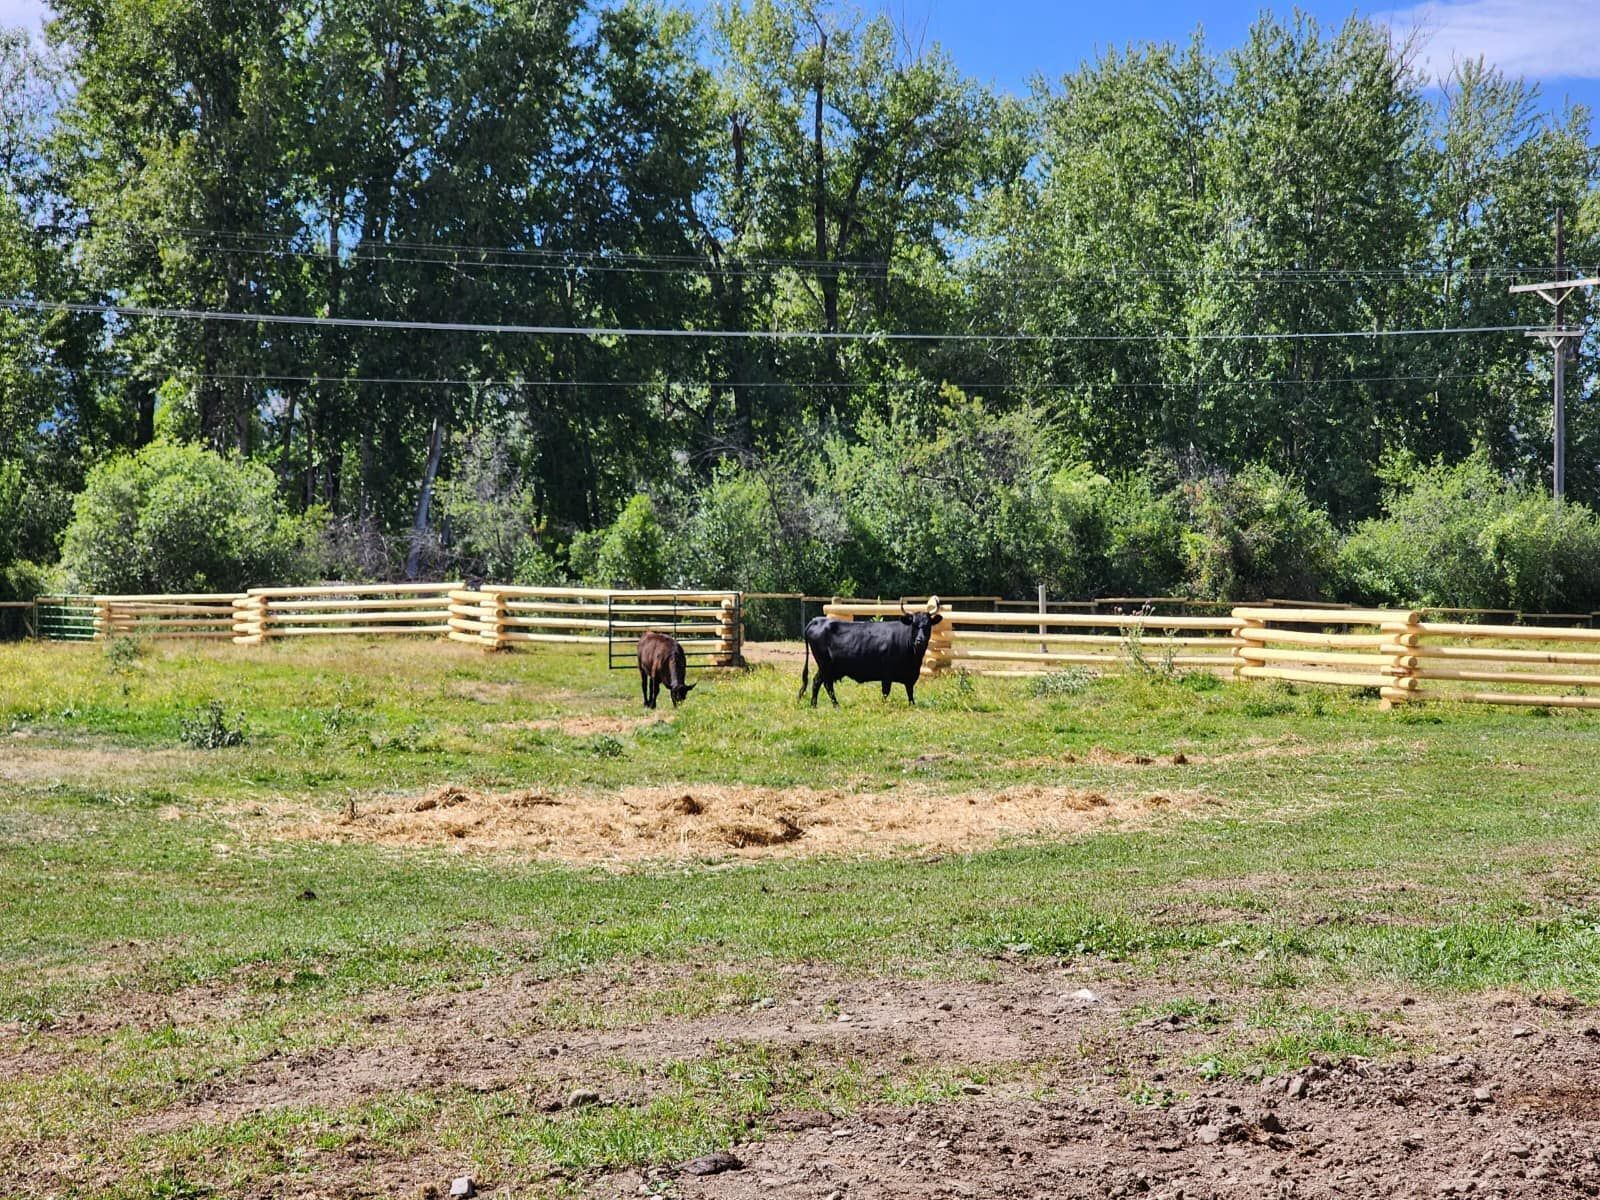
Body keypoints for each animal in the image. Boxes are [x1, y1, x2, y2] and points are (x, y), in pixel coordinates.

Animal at [799, 602, 943, 707]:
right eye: (914, 625)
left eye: (928, 625)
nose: (920, 640)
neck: (913, 658)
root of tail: (817, 620)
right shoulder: (887, 674)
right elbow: (886, 692)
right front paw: (884, 705)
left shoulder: (910, 675)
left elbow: (910, 692)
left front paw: (912, 705)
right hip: (825, 665)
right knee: (824, 684)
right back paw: (832, 705)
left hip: (826, 667)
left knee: (818, 682)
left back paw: (815, 705)